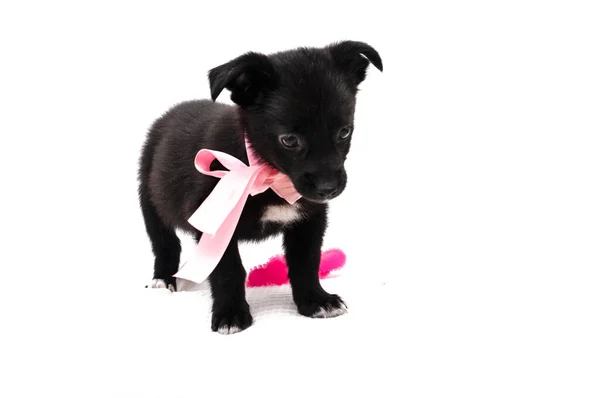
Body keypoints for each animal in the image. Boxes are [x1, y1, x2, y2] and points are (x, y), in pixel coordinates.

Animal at [138, 41, 382, 332]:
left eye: (344, 132)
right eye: (289, 140)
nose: (329, 189)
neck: (265, 173)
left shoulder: (309, 221)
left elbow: (306, 262)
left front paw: (315, 301)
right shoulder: (215, 223)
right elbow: (228, 269)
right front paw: (230, 314)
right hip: (148, 198)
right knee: (164, 242)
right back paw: (163, 277)